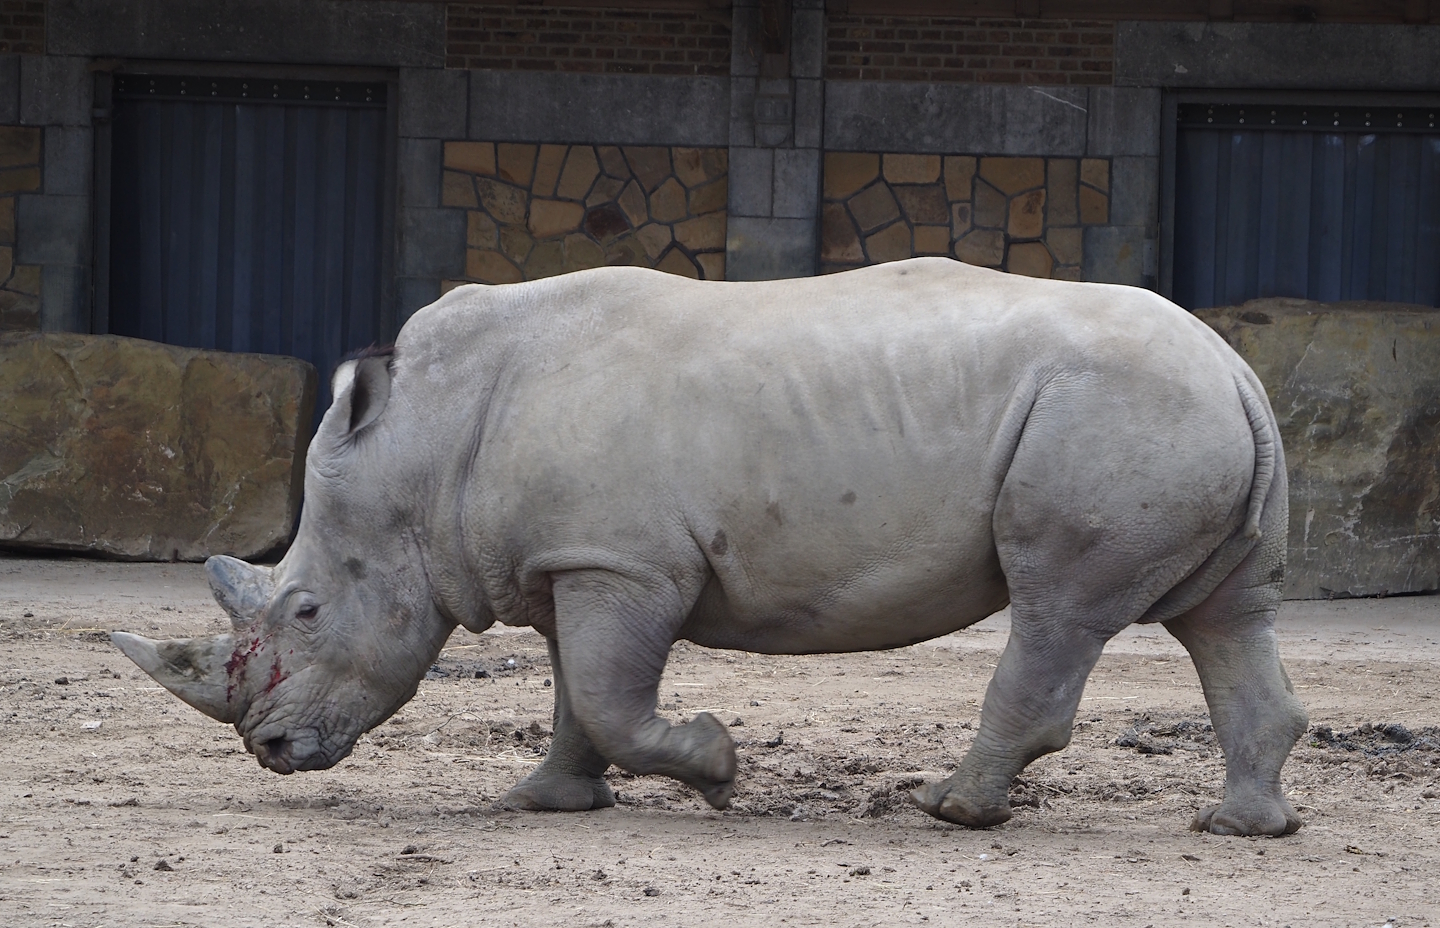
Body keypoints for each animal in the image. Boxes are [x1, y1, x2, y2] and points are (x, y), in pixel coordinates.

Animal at [112, 258, 1308, 836]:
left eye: (306, 609)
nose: (270, 750)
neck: (423, 446)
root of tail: (1236, 367)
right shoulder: (572, 558)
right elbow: (575, 692)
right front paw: (544, 802)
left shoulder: (622, 559)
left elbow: (609, 697)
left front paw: (719, 768)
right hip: (1176, 414)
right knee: (1225, 615)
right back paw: (1241, 826)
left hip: (1115, 413)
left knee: (1058, 603)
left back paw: (951, 810)